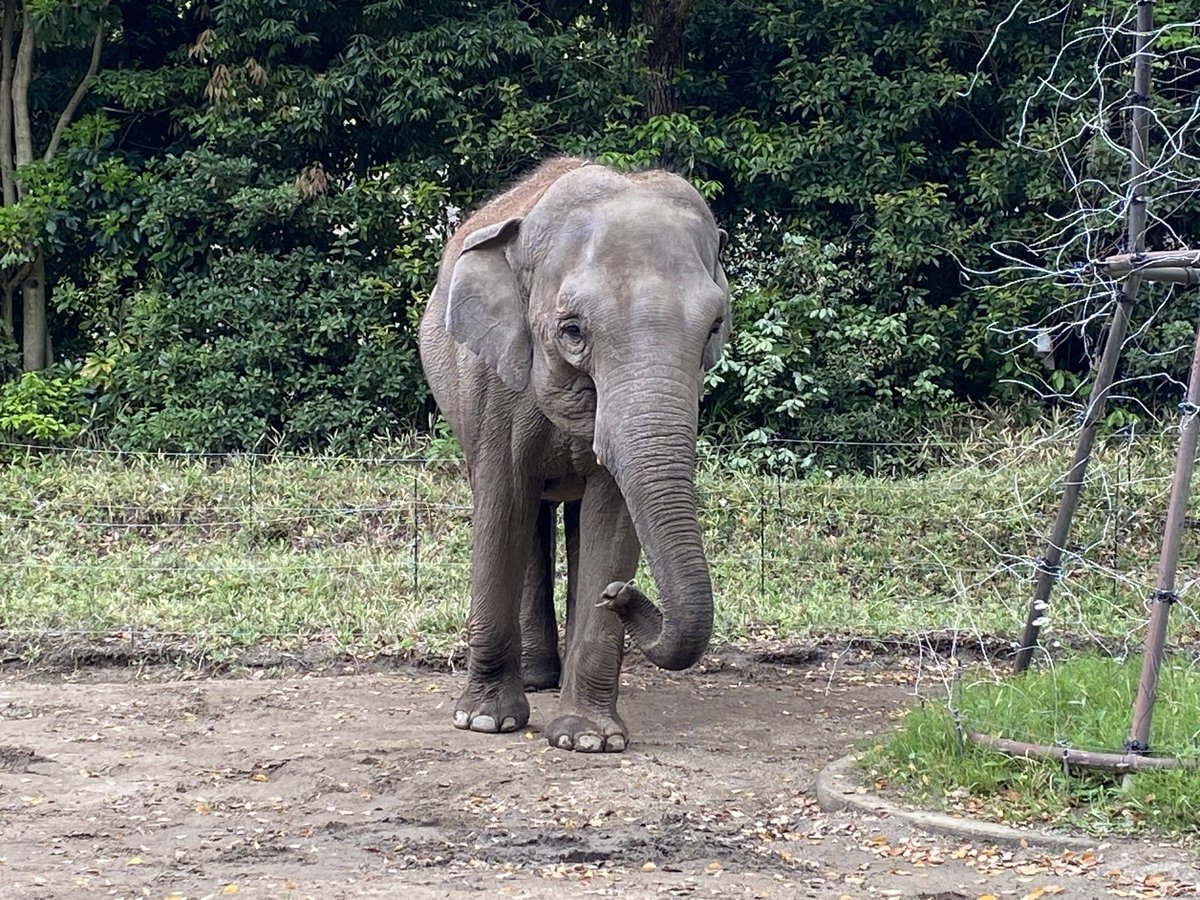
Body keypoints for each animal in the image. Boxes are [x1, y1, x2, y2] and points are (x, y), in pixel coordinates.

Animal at [417, 157, 724, 753]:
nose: (621, 595)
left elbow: (614, 516)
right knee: (525, 511)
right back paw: (538, 681)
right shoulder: (490, 382)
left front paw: (588, 740)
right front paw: (485, 721)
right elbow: (501, 503)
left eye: (714, 330)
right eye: (573, 330)